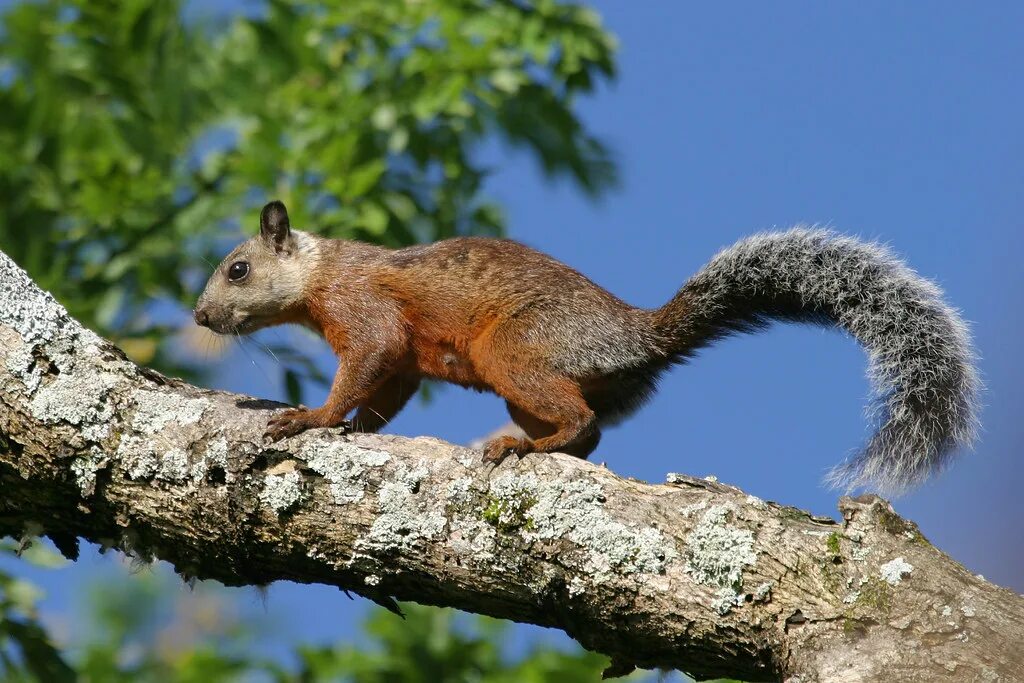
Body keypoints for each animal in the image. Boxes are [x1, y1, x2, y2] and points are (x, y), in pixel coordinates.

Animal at [195, 200, 978, 493]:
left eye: (238, 269)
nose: (201, 314)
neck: (322, 273)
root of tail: (639, 333)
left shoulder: (368, 313)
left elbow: (367, 366)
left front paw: (312, 418)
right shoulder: (399, 358)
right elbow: (387, 393)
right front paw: (357, 427)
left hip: (517, 352)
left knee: (583, 423)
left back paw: (524, 447)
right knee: (592, 430)